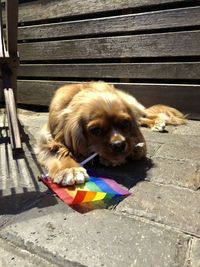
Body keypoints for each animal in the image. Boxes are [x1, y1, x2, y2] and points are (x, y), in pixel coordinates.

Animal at [36, 81, 185, 186]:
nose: (119, 144)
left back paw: (158, 122)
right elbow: (59, 151)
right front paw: (70, 169)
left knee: (145, 115)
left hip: (132, 104)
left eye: (125, 123)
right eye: (96, 130)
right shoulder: (46, 139)